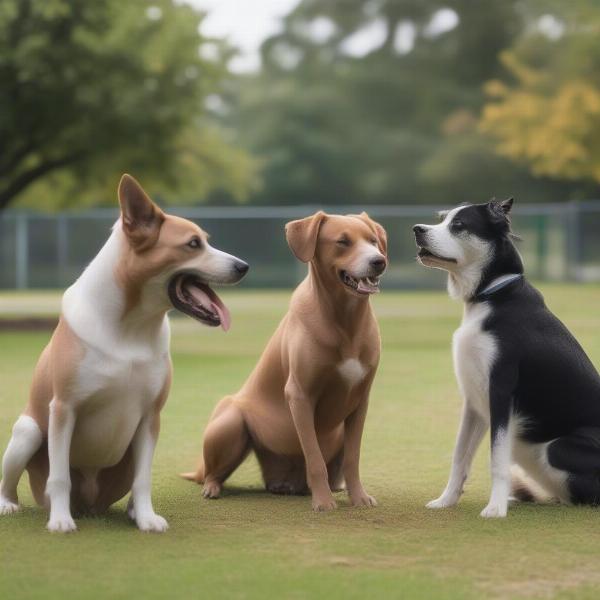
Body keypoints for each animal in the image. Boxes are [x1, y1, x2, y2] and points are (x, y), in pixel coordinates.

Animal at [0, 176, 248, 532]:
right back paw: (10, 505)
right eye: (192, 244)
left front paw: (146, 518)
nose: (244, 266)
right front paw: (60, 520)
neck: (130, 327)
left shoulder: (150, 416)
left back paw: (131, 511)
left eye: (205, 241)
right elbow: (59, 477)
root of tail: (91, 505)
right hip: (28, 433)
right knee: (14, 479)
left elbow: (143, 480)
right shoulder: (63, 409)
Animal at [183, 211, 386, 510]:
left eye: (373, 241)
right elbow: (314, 458)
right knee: (212, 472)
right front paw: (323, 502)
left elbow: (353, 458)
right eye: (342, 242)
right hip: (231, 421)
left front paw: (358, 497)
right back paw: (213, 487)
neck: (345, 321)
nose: (378, 261)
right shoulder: (300, 396)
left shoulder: (360, 400)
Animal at [412, 199, 600, 516]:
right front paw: (447, 499)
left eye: (459, 225)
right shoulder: (474, 400)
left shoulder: (500, 392)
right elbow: (460, 455)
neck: (492, 296)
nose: (417, 229)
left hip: (559, 448)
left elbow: (497, 459)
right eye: (442, 219)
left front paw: (495, 508)